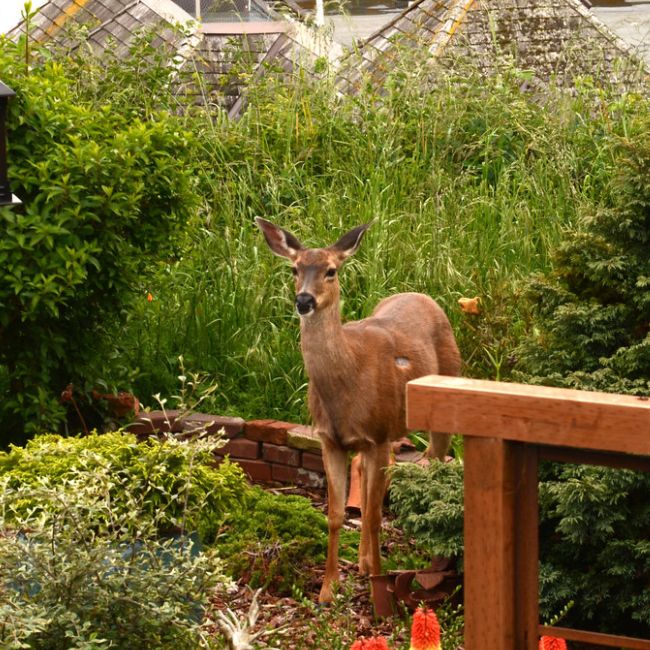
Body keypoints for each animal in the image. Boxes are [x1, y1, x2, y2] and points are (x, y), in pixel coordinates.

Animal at [255, 218, 461, 604]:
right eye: (294, 269)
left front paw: (380, 586)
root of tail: (422, 295)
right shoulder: (330, 439)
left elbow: (376, 514)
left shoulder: (376, 434)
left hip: (443, 392)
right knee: (370, 477)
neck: (347, 381)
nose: (303, 300)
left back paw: (430, 562)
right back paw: (364, 562)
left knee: (436, 462)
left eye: (331, 271)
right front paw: (328, 589)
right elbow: (336, 514)